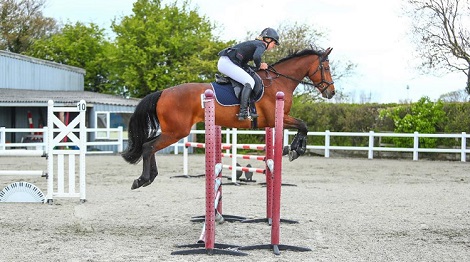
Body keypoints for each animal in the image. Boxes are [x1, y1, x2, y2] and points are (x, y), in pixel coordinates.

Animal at [121, 47, 334, 189]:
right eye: (325, 67)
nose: (331, 92)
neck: (279, 81)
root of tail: (163, 93)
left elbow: (302, 126)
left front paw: (293, 149)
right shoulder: (276, 118)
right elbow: (303, 125)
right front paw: (296, 149)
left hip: (172, 131)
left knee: (149, 146)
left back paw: (150, 177)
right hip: (176, 131)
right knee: (149, 147)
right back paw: (143, 179)